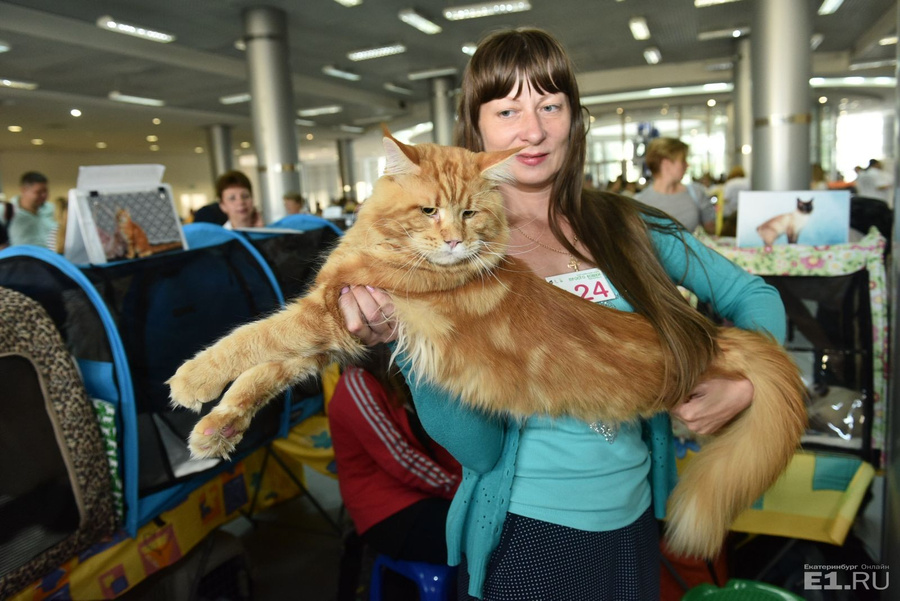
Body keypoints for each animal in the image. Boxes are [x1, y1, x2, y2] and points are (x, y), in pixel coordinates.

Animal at [169, 132, 808, 556]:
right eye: (430, 209)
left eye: (471, 213)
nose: (454, 241)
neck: (379, 242)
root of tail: (710, 333)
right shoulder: (338, 325)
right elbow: (259, 375)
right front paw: (215, 430)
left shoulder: (325, 317)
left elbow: (249, 340)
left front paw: (191, 379)